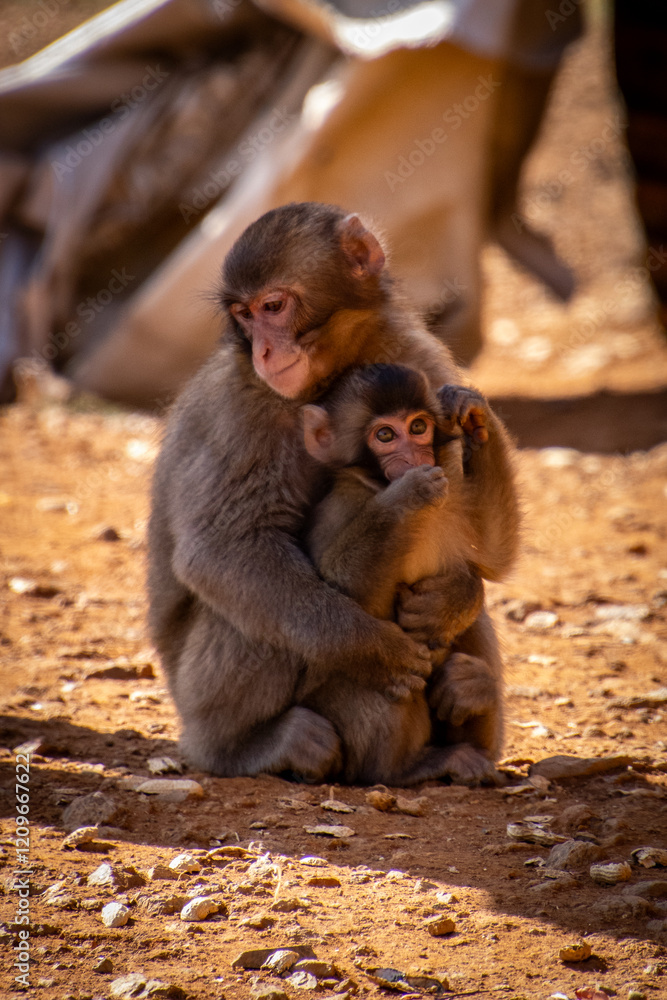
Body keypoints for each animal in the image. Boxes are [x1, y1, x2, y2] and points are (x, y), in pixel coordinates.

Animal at [300, 362, 503, 784]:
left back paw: (474, 694)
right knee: (387, 679)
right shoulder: (340, 507)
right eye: (385, 435)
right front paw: (408, 497)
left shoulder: (451, 498)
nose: (413, 454)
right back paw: (408, 768)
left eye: (418, 427)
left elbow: (491, 555)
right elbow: (332, 598)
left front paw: (475, 412)